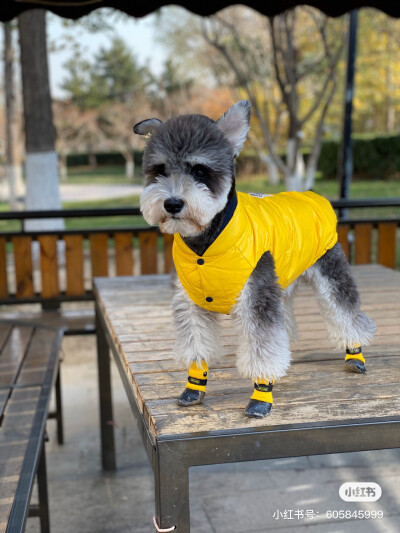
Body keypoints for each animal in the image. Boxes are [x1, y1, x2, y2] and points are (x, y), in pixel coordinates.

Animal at [134, 100, 376, 416]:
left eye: (200, 171)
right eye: (159, 170)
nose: (172, 203)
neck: (206, 243)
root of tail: (312, 196)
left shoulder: (257, 298)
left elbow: (263, 347)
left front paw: (261, 395)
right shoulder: (191, 301)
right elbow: (196, 345)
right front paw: (193, 387)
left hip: (331, 271)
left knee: (346, 312)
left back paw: (355, 353)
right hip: (282, 281)